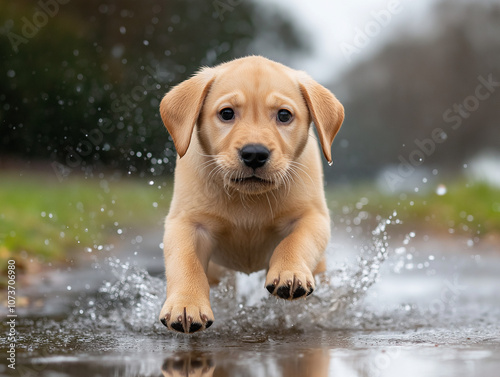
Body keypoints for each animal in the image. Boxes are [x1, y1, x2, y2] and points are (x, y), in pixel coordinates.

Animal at [157, 55, 344, 332]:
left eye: (284, 115)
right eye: (226, 114)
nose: (255, 153)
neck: (247, 198)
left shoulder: (312, 216)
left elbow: (297, 241)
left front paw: (290, 273)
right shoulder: (186, 222)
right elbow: (185, 262)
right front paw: (186, 304)